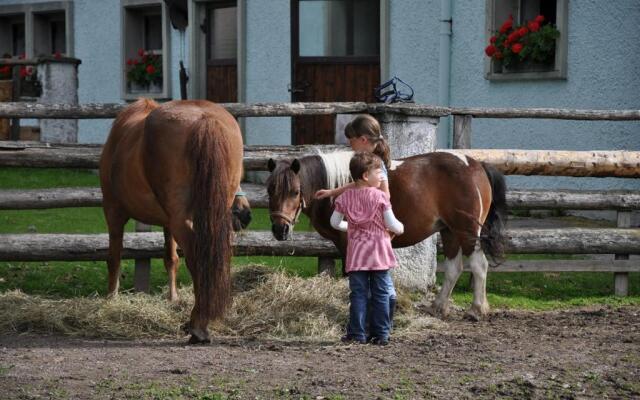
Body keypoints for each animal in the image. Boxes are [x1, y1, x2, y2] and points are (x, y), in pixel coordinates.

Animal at [100, 98, 250, 342]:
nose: (244, 214)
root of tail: (204, 119)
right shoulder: (168, 221)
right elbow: (171, 259)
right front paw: (173, 298)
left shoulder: (113, 211)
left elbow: (114, 258)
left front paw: (111, 298)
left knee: (197, 256)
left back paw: (198, 324)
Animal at [264, 152, 504, 320]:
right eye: (269, 190)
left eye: (295, 191)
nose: (279, 229)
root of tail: (476, 165)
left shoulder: (348, 242)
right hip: (450, 231)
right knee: (454, 267)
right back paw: (438, 306)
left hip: (467, 230)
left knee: (479, 265)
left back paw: (476, 309)